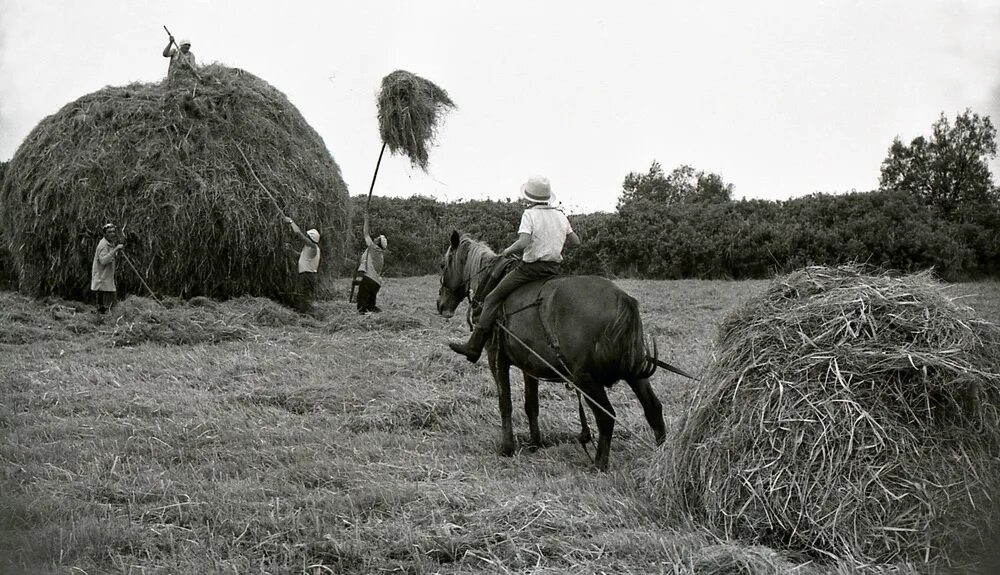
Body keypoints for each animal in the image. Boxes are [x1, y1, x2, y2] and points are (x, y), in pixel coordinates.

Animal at [438, 232, 688, 470]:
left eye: (443, 265)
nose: (441, 306)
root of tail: (621, 298)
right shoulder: (529, 365)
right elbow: (531, 404)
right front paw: (535, 443)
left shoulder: (497, 358)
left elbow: (505, 403)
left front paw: (507, 448)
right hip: (634, 372)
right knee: (653, 409)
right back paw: (661, 457)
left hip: (587, 380)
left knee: (606, 417)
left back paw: (599, 464)